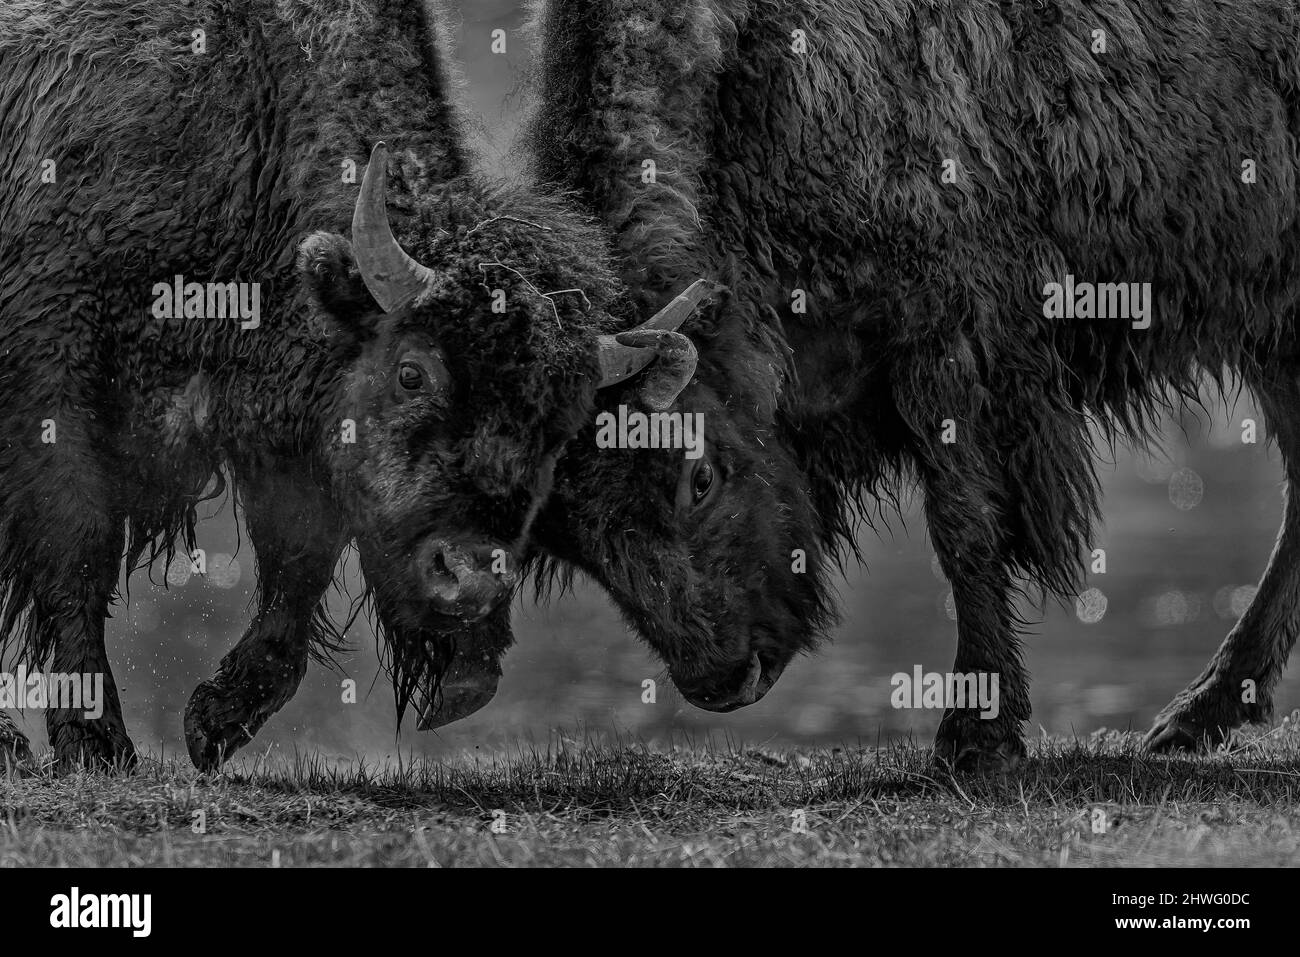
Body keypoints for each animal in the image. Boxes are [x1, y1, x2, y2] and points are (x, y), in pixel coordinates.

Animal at [0, 0, 707, 769]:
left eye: (562, 427)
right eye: (411, 372)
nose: (470, 581)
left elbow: (297, 567)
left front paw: (215, 719)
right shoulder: (54, 379)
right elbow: (79, 545)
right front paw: (95, 741)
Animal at [514, 0, 1300, 764]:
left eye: (697, 477)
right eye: (573, 540)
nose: (724, 681)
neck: (738, 80)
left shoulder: (948, 343)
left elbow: (965, 530)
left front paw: (976, 736)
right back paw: (1196, 715)